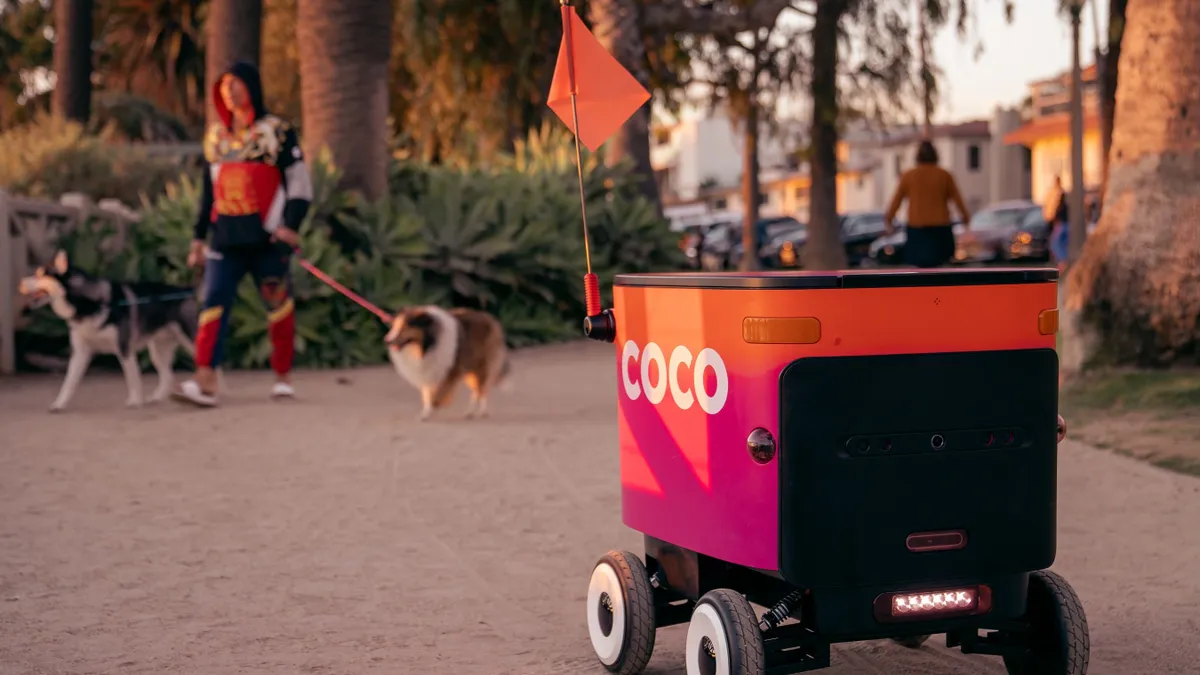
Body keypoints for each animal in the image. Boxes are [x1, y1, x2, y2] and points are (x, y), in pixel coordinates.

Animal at [18, 249, 198, 410]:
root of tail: (186, 289)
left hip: (190, 343)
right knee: (168, 375)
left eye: (40, 274)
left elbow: (132, 378)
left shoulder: (124, 347)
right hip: (157, 351)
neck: (89, 303)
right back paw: (156, 397)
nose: (20, 283)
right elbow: (68, 382)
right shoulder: (80, 352)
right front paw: (59, 404)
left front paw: (135, 401)